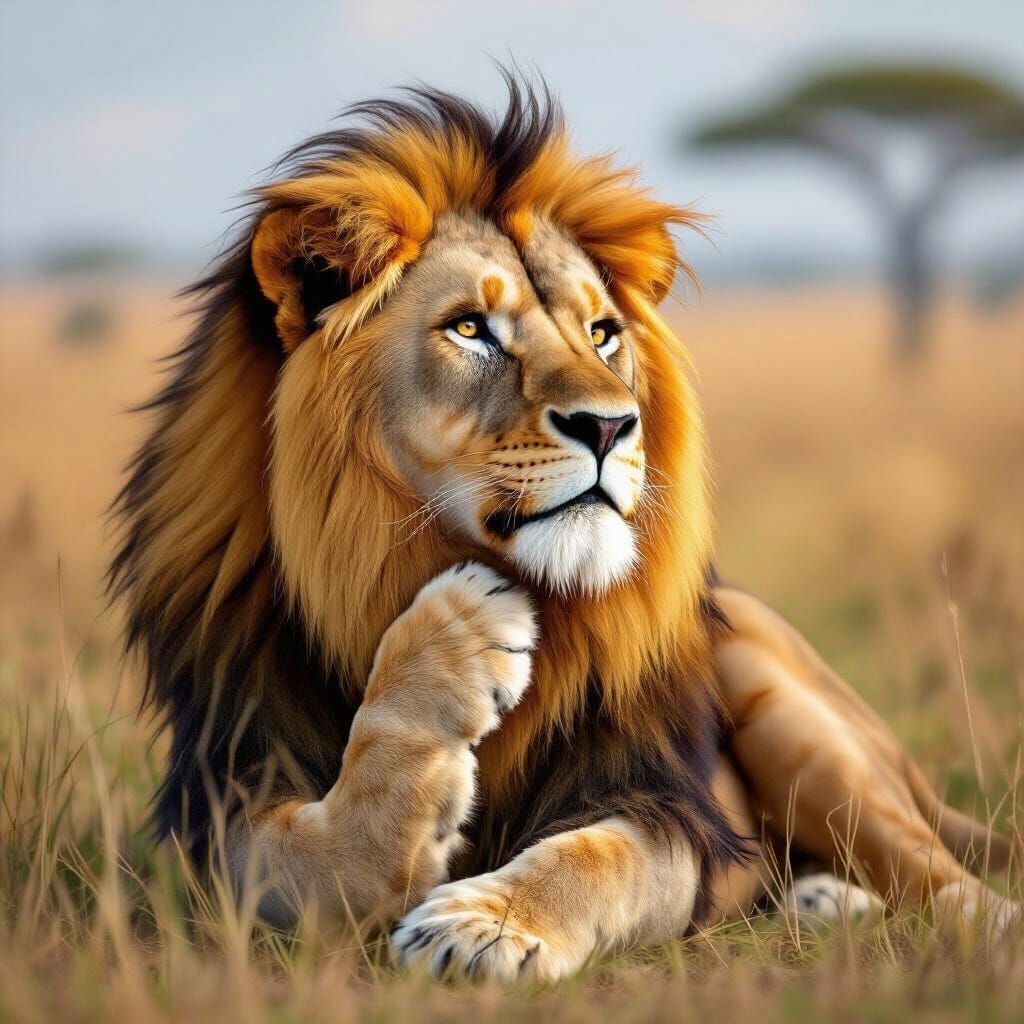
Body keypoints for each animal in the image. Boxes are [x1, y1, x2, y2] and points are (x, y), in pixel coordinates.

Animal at [110, 75, 1019, 982]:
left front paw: (483, 926)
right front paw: (460, 636)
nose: (612, 426)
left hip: (803, 725)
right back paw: (823, 902)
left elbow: (591, 860)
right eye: (470, 328)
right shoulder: (223, 797)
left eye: (602, 333)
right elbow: (315, 857)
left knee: (944, 876)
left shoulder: (665, 807)